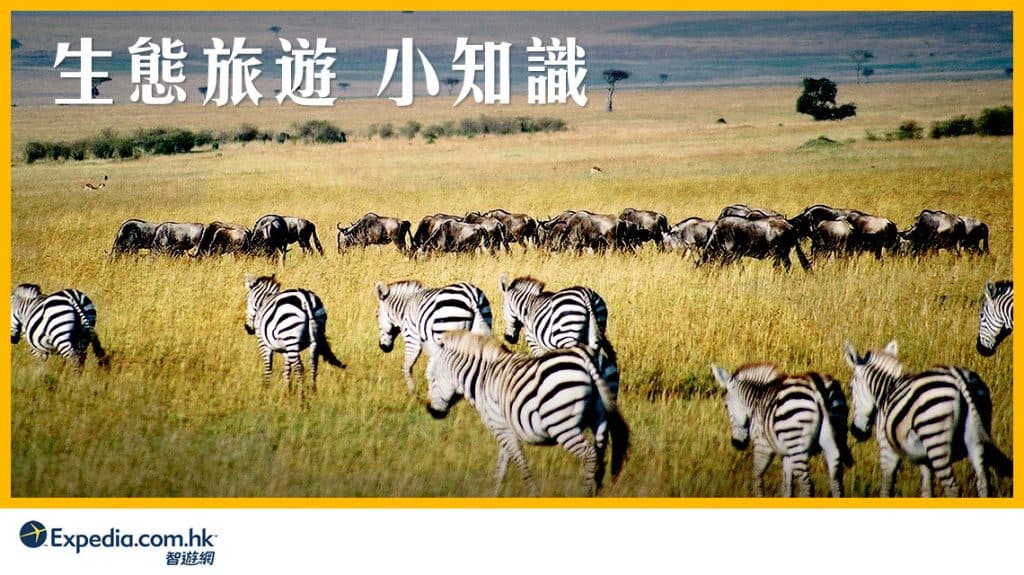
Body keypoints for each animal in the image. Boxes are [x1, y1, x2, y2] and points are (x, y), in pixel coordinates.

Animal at [425, 330, 629, 496]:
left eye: (431, 378)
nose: (431, 412)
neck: (483, 376)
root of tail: (585, 356)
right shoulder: (506, 429)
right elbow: (501, 467)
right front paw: (494, 494)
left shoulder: (501, 428)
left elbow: (520, 464)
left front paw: (533, 494)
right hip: (600, 418)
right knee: (599, 455)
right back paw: (596, 492)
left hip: (562, 425)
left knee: (589, 454)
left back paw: (584, 494)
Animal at [710, 363, 853, 497]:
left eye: (726, 406)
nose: (737, 443)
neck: (757, 399)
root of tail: (817, 387)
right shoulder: (787, 454)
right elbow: (786, 487)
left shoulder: (762, 445)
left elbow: (756, 475)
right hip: (833, 440)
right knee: (835, 483)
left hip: (797, 444)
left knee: (806, 485)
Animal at [843, 340, 1012, 497]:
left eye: (851, 388)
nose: (856, 431)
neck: (886, 391)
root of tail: (959, 379)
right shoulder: (924, 458)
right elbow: (926, 489)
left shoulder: (888, 449)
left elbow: (886, 487)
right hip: (975, 440)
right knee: (983, 483)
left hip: (935, 438)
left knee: (952, 487)